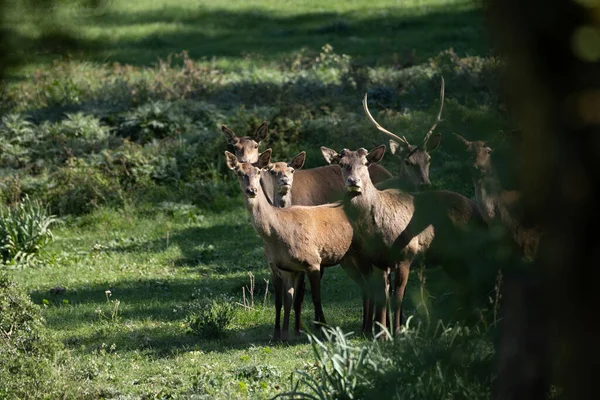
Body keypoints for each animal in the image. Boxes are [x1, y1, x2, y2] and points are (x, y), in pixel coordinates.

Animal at [224, 149, 356, 340]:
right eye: (239, 173)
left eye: (258, 172)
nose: (251, 190)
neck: (277, 233)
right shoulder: (278, 267)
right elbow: (281, 301)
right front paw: (279, 334)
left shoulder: (312, 261)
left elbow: (315, 298)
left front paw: (322, 328)